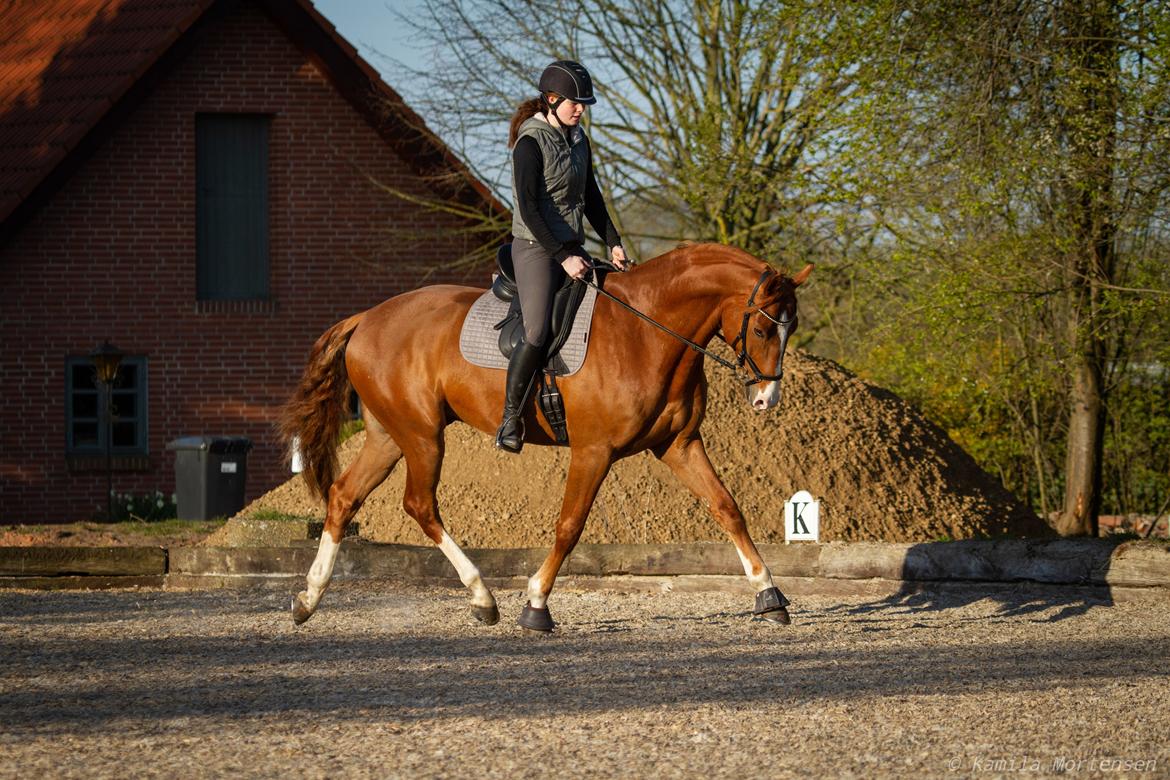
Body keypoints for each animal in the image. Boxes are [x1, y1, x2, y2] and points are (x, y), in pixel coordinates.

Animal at [283, 240, 814, 631]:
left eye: (791, 329)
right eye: (764, 330)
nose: (766, 400)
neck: (648, 332)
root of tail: (366, 318)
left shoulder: (679, 446)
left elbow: (727, 508)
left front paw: (770, 594)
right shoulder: (593, 451)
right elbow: (569, 526)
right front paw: (536, 605)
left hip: (389, 436)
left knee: (343, 496)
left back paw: (309, 598)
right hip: (422, 436)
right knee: (419, 505)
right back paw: (482, 597)